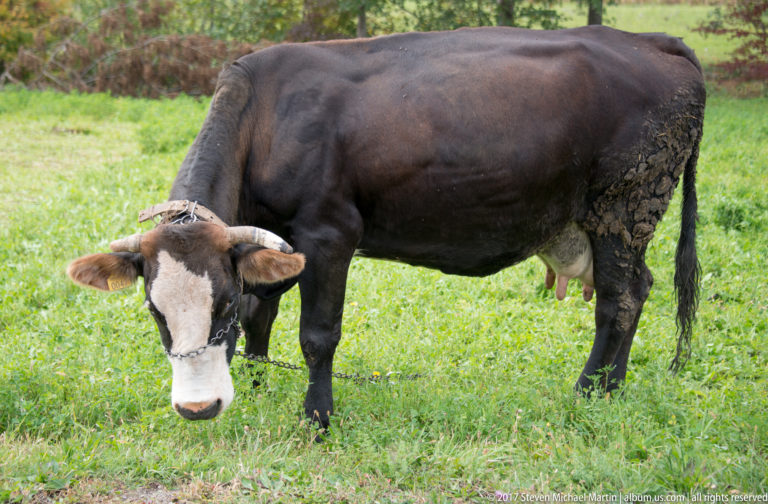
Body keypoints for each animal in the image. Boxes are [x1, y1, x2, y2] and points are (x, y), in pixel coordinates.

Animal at [67, 25, 705, 429]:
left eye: (217, 304)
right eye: (156, 311)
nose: (198, 409)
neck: (265, 117)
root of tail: (649, 42)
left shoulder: (328, 235)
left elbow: (316, 335)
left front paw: (317, 417)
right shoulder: (268, 239)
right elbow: (261, 314)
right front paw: (254, 382)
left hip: (624, 207)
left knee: (620, 301)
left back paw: (593, 391)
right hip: (612, 220)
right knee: (640, 289)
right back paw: (612, 385)